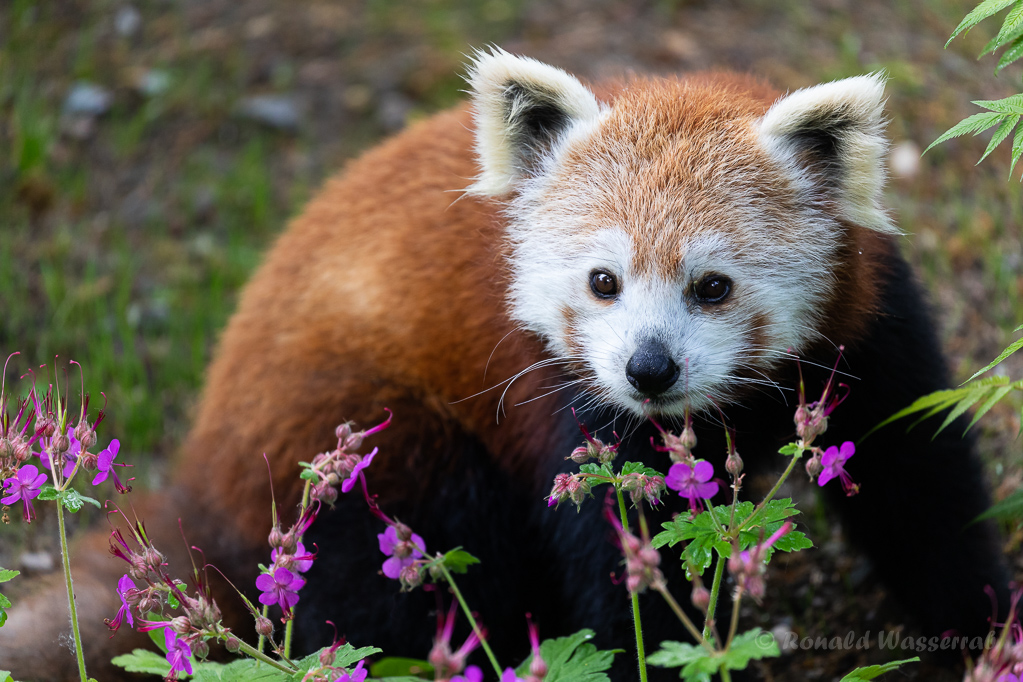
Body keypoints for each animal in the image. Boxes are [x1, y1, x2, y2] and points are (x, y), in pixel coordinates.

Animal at [0, 49, 1006, 682]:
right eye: (602, 282)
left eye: (712, 287)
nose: (647, 369)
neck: (724, 408)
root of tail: (200, 490)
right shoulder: (561, 401)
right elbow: (616, 568)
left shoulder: (867, 334)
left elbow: (924, 489)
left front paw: (987, 628)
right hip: (372, 449)